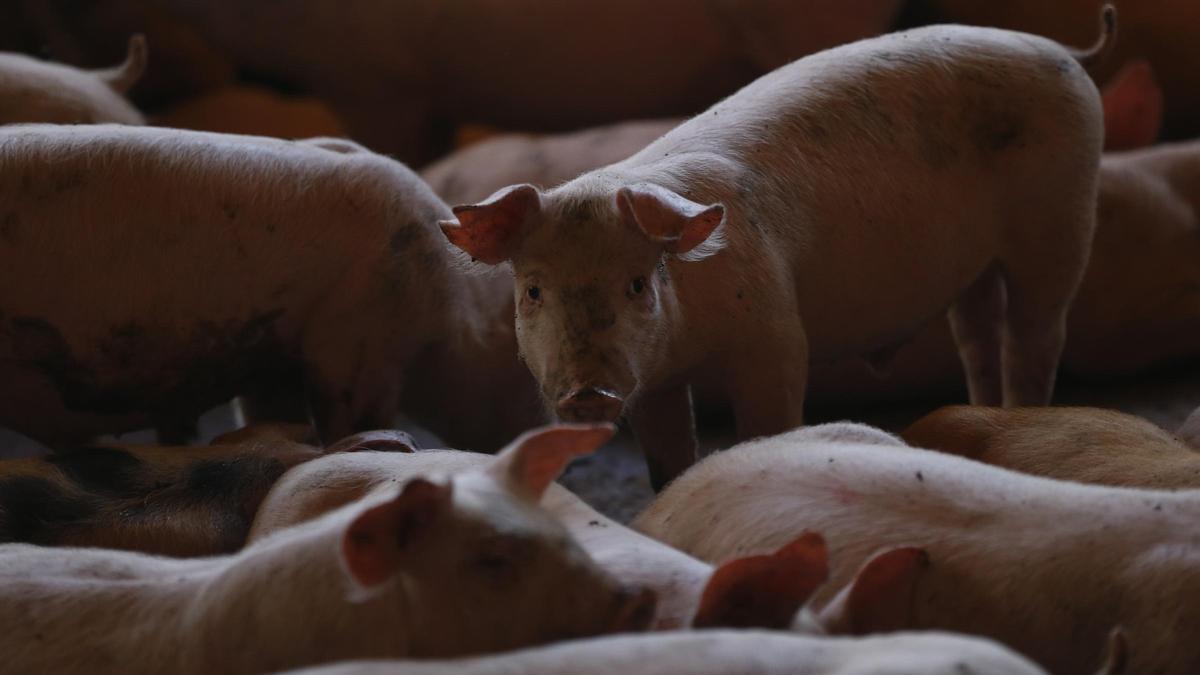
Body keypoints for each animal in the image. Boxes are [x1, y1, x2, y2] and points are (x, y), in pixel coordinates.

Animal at [441, 14, 1113, 487]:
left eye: (636, 283)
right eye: (533, 290)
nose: (587, 393)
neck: (691, 342)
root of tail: (1063, 51)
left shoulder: (774, 331)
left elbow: (769, 419)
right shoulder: (655, 379)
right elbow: (666, 461)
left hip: (1062, 218)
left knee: (1036, 335)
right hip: (974, 268)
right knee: (977, 334)